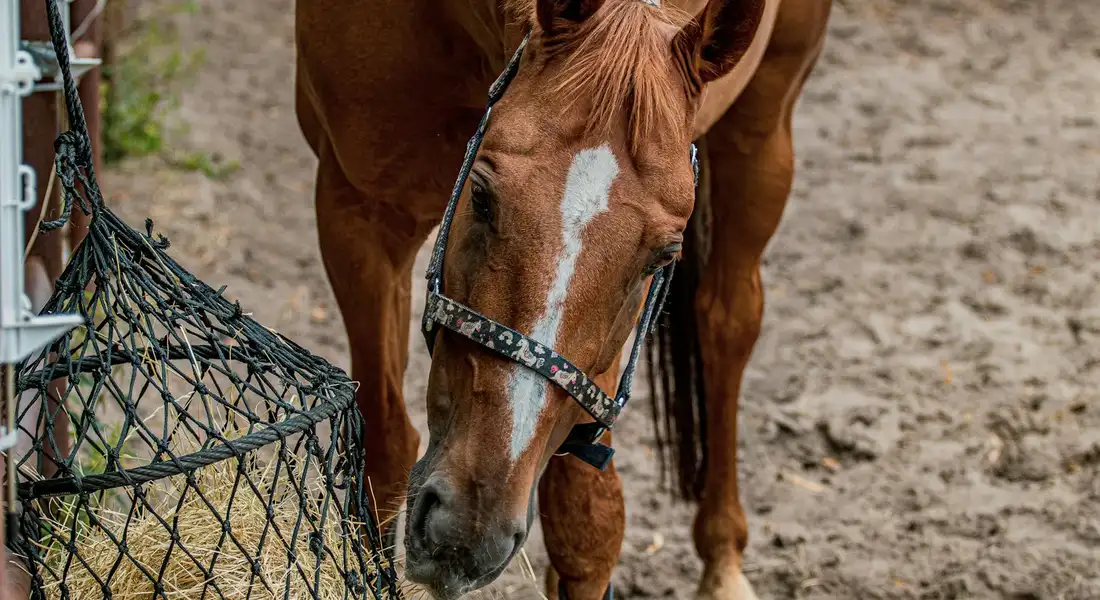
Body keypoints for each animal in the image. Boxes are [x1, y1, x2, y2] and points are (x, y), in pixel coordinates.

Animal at [294, 0, 831, 598]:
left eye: (662, 257)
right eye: (481, 196)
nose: (466, 527)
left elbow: (586, 525)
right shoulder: (358, 216)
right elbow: (382, 449)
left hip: (767, 122)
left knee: (727, 321)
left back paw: (723, 560)